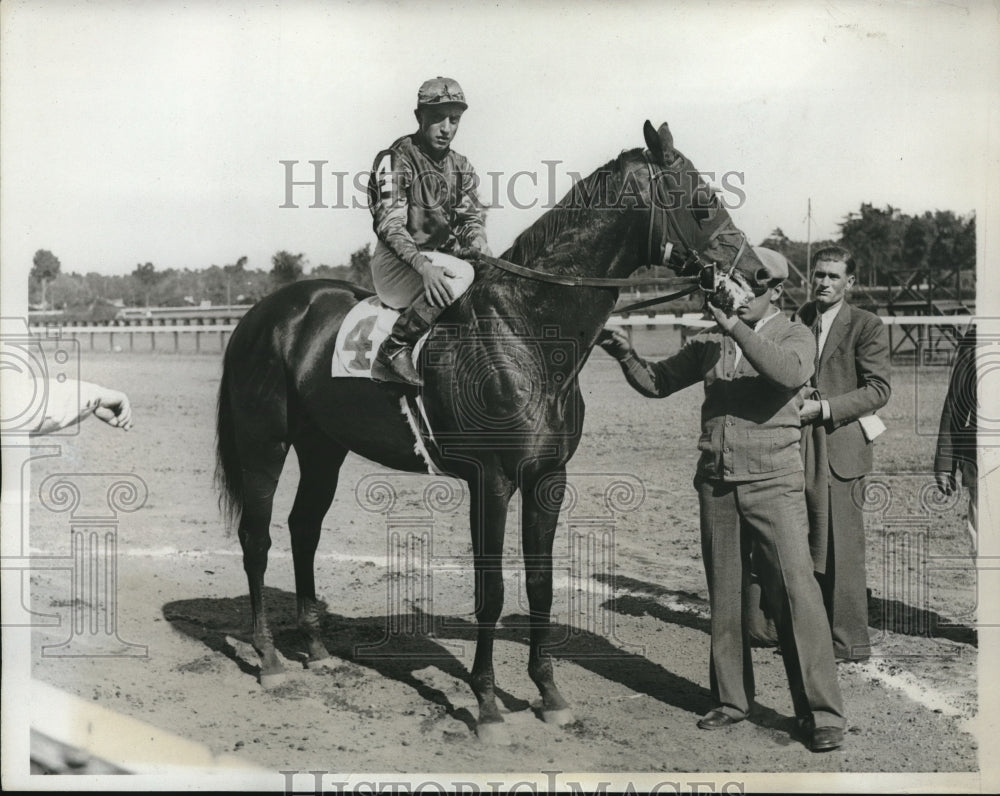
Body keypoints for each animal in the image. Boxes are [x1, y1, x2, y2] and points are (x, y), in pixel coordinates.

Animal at [217, 119, 764, 748]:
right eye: (702, 203)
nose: (759, 274)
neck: (526, 329)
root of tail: (263, 315)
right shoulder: (492, 481)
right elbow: (492, 591)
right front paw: (487, 704)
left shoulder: (549, 477)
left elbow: (541, 585)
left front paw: (550, 694)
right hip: (264, 444)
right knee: (257, 538)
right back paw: (269, 659)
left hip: (323, 448)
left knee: (304, 528)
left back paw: (312, 645)